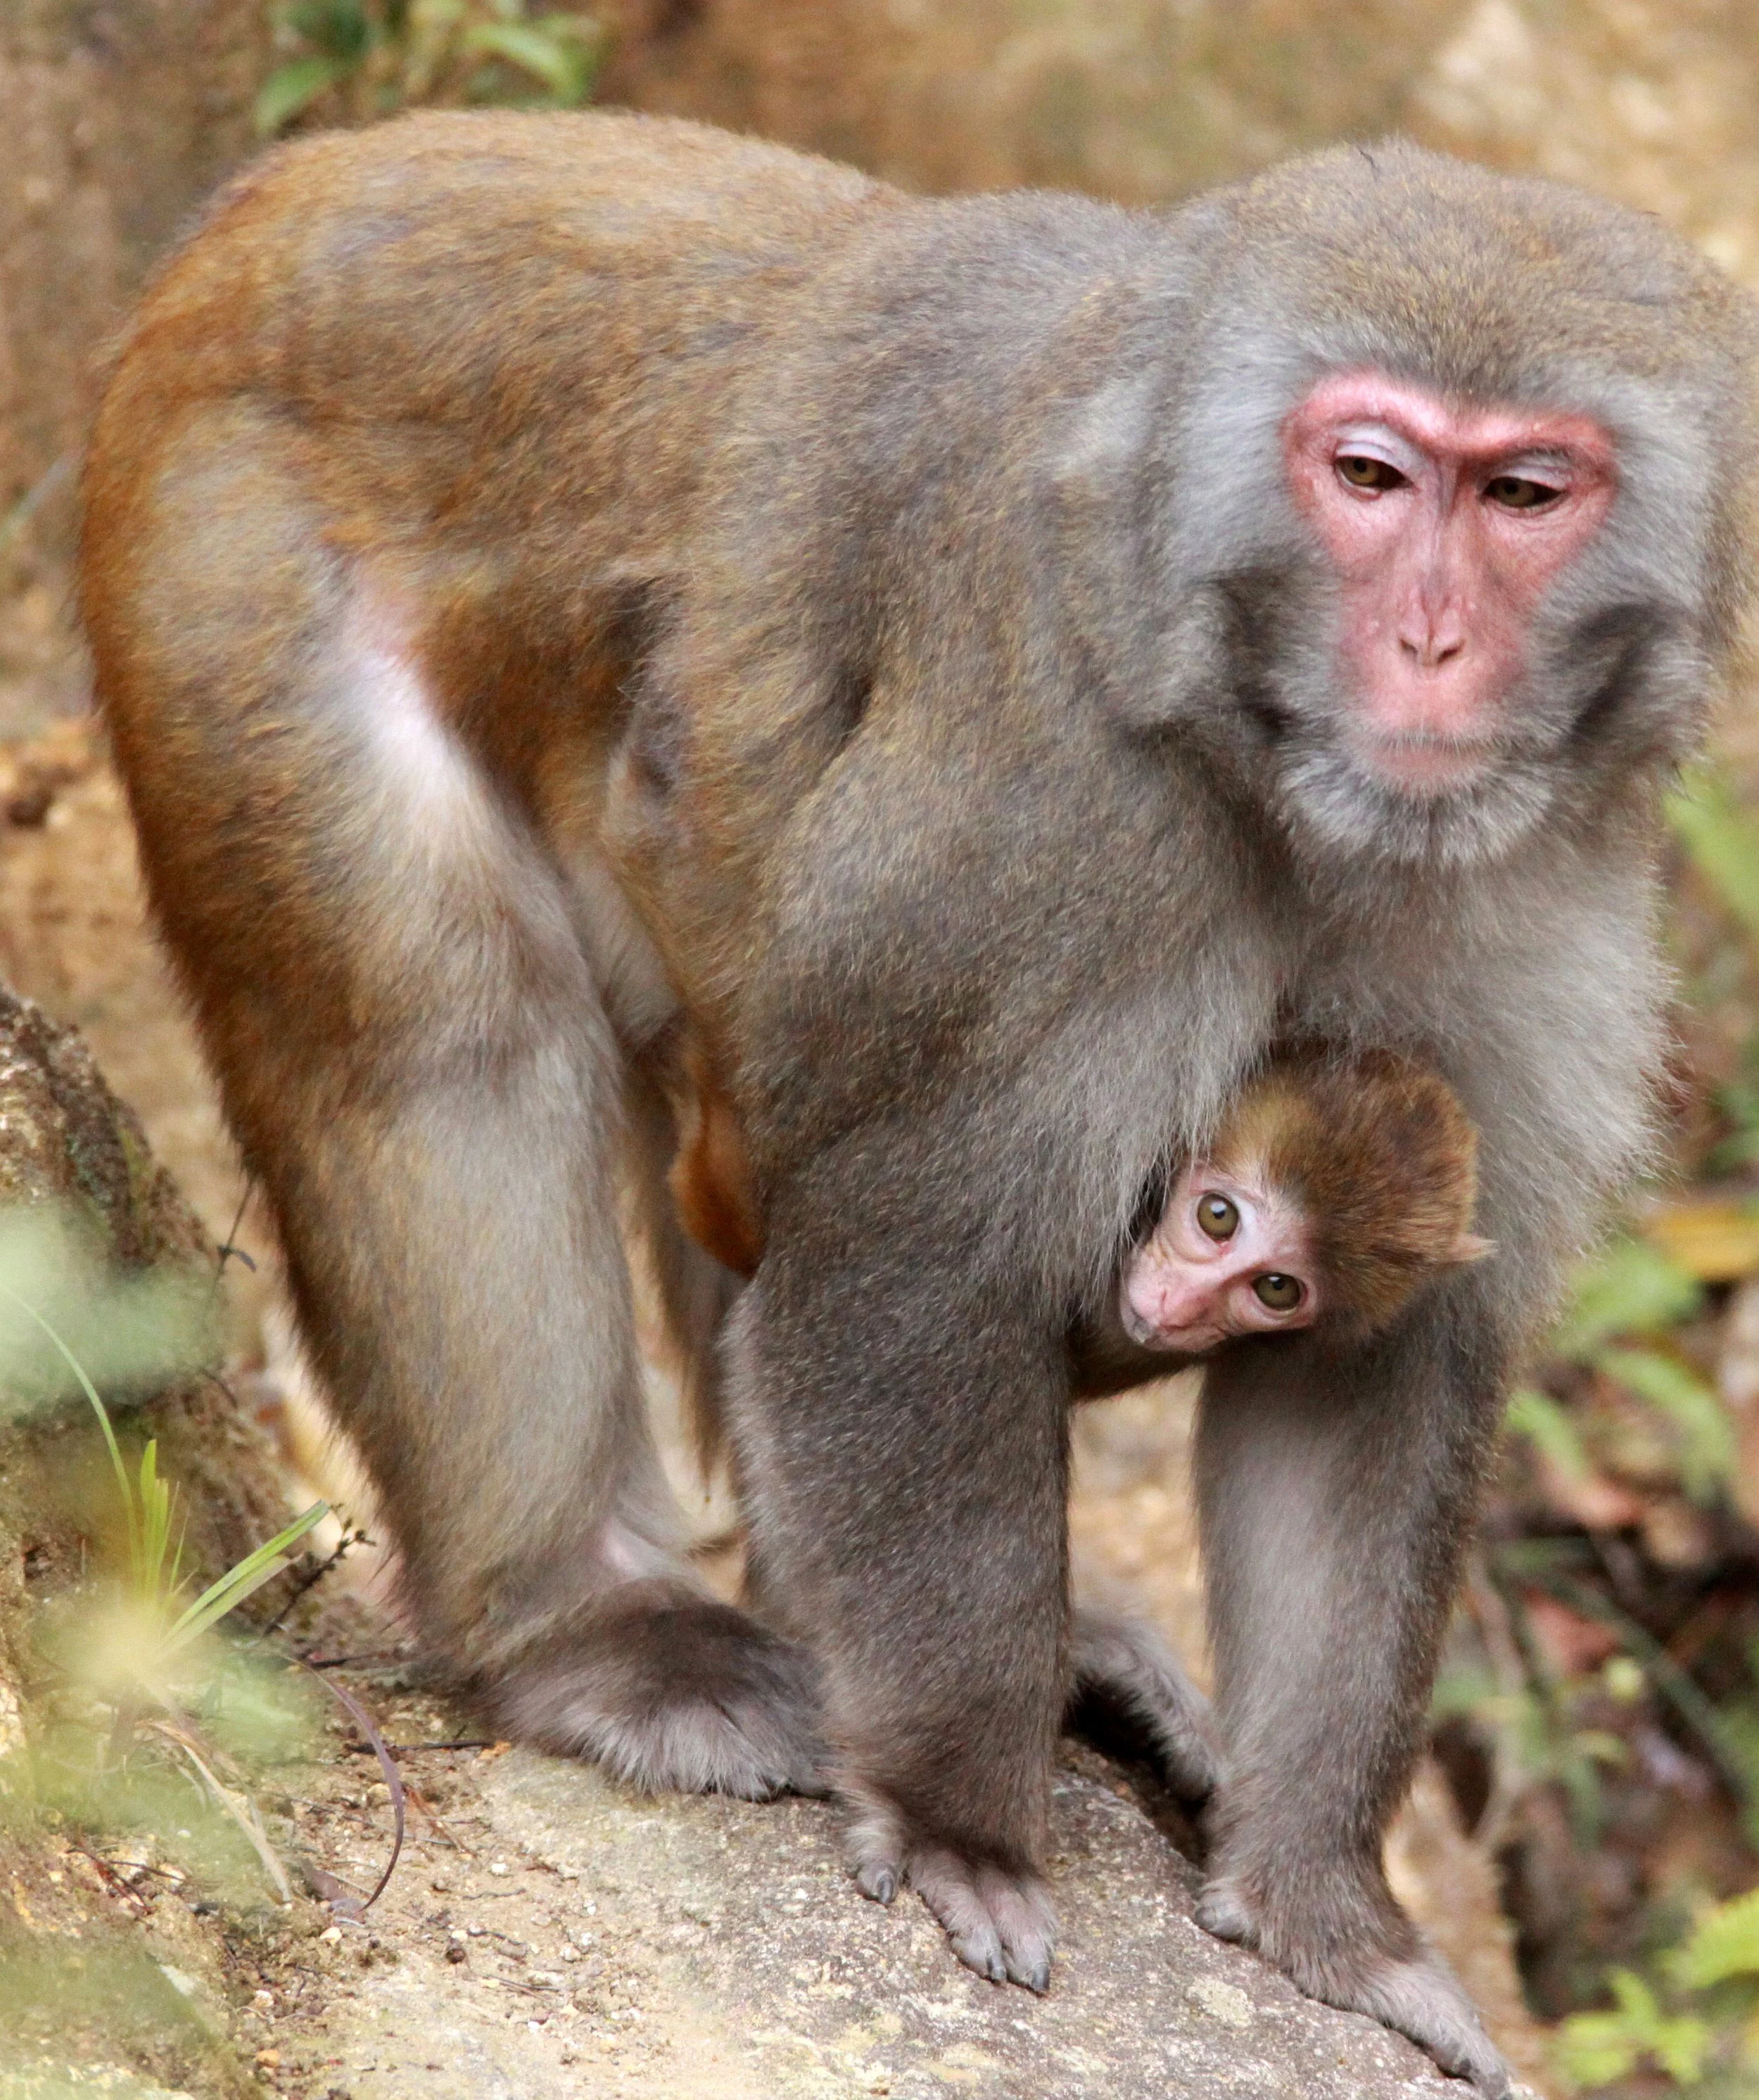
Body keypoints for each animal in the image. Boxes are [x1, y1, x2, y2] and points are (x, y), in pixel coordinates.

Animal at [78, 112, 1758, 2094]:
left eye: (1523, 496)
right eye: (1367, 473)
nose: (1429, 643)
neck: (1267, 757)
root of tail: (295, 189)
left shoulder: (1530, 889)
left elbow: (1362, 1370)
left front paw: (1328, 1908)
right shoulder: (1052, 816)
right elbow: (908, 1253)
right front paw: (963, 1820)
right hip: (225, 545)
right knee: (440, 1033)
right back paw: (584, 1622)